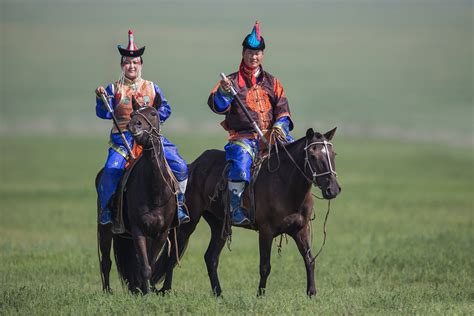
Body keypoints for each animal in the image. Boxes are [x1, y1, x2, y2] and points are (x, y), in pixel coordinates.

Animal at [95, 95, 179, 296]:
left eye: (153, 113)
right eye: (133, 114)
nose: (134, 125)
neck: (155, 191)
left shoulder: (161, 233)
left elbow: (150, 264)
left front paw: (145, 289)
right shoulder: (138, 229)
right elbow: (145, 266)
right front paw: (145, 293)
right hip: (105, 229)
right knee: (106, 261)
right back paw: (107, 291)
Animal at [154, 126, 342, 296]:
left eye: (333, 154)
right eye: (313, 155)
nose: (332, 189)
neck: (286, 184)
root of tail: (192, 166)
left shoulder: (301, 229)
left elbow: (310, 260)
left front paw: (312, 293)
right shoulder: (266, 230)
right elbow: (265, 266)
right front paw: (260, 295)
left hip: (219, 225)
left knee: (211, 257)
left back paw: (218, 293)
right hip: (190, 221)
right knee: (173, 255)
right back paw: (166, 290)